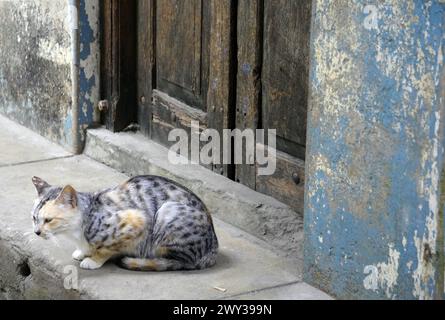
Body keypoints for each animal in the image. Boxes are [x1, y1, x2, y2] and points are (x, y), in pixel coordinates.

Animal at [30, 175, 218, 270]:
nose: (36, 232)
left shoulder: (138, 222)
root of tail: (214, 244)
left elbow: (107, 248)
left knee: (182, 262)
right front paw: (82, 251)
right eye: (34, 218)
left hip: (168, 212)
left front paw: (93, 260)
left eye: (48, 220)